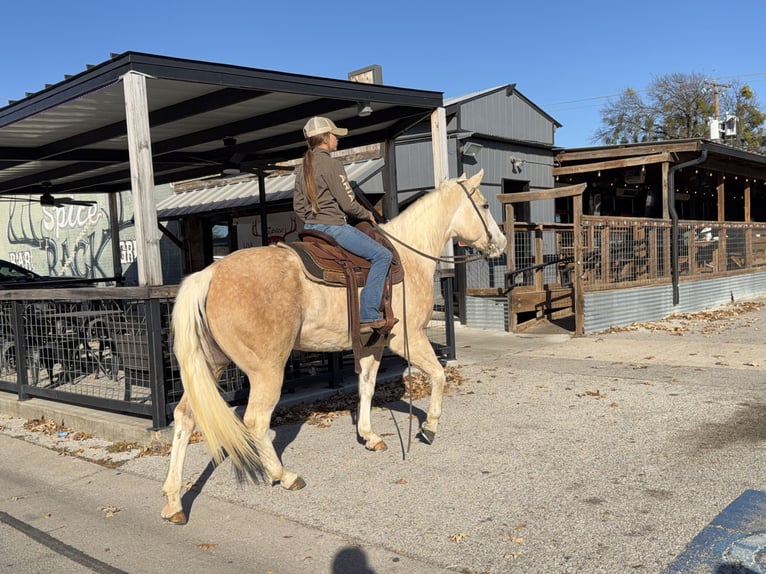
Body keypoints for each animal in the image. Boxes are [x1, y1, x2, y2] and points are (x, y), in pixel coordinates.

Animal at [161, 169, 506, 524]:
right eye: (484, 204)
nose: (502, 243)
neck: (408, 258)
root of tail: (210, 273)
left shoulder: (372, 345)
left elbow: (366, 387)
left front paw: (369, 435)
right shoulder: (408, 339)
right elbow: (438, 375)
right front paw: (430, 427)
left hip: (211, 364)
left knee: (185, 417)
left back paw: (174, 500)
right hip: (267, 370)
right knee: (256, 421)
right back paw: (284, 475)